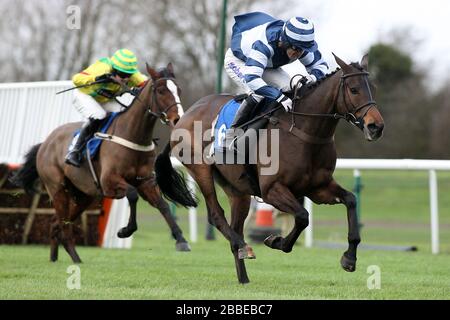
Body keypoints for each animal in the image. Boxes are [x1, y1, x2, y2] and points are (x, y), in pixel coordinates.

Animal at [11, 63, 195, 262]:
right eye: (161, 90)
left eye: (179, 90)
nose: (178, 119)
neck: (132, 134)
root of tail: (45, 143)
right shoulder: (109, 182)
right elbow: (132, 194)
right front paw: (125, 230)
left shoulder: (146, 182)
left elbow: (162, 205)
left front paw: (181, 240)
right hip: (58, 189)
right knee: (64, 225)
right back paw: (76, 259)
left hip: (83, 196)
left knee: (56, 223)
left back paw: (56, 259)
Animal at [155, 54, 384, 282]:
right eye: (354, 89)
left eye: (372, 87)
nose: (376, 126)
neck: (304, 132)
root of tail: (183, 117)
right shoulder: (272, 189)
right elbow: (302, 216)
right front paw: (277, 241)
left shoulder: (318, 188)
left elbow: (351, 200)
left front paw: (349, 258)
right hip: (201, 170)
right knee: (216, 215)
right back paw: (244, 247)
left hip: (237, 189)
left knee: (236, 226)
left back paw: (244, 277)